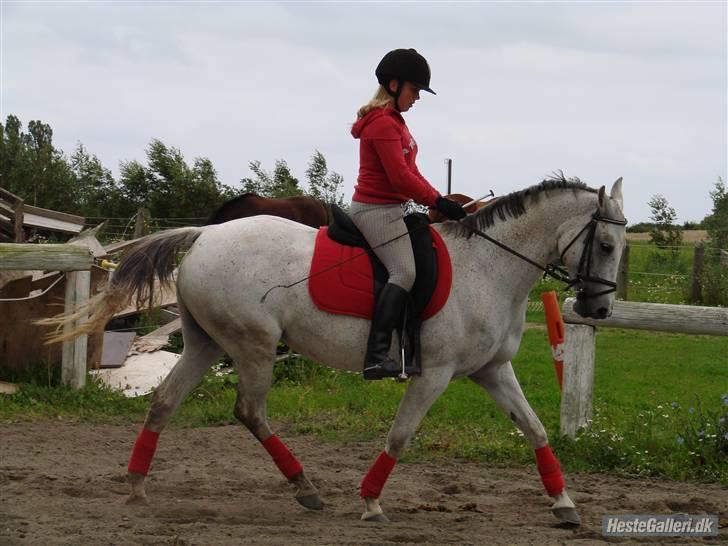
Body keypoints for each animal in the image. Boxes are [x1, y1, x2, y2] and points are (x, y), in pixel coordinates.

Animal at [55, 174, 624, 524]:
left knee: (165, 402)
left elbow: (535, 428)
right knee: (249, 411)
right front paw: (371, 503)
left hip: (205, 344)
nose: (597, 309)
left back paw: (137, 485)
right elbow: (400, 436)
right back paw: (305, 486)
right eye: (606, 245)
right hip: (253, 345)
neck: (489, 266)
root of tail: (204, 237)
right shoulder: (434, 373)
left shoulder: (492, 369)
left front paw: (564, 503)